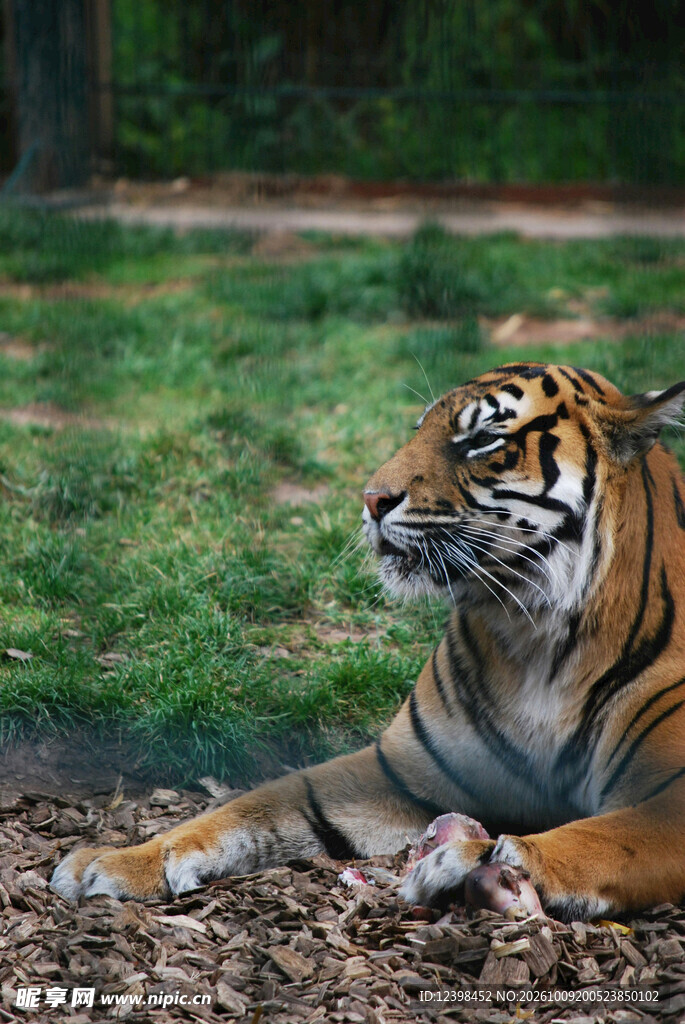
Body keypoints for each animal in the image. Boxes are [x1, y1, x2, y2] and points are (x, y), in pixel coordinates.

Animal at [51, 361, 685, 922]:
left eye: (482, 439)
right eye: (419, 430)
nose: (371, 498)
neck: (532, 632)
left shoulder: (669, 800)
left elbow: (592, 839)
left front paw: (464, 859)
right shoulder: (398, 770)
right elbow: (254, 807)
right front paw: (117, 861)